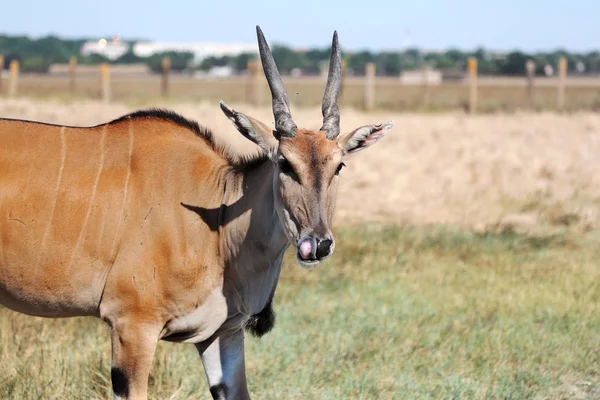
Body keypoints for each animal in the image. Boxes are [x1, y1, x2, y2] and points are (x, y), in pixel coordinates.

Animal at [0, 26, 394, 398]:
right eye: (284, 163)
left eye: (339, 165)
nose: (318, 244)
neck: (217, 227)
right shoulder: (131, 327)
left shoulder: (223, 334)